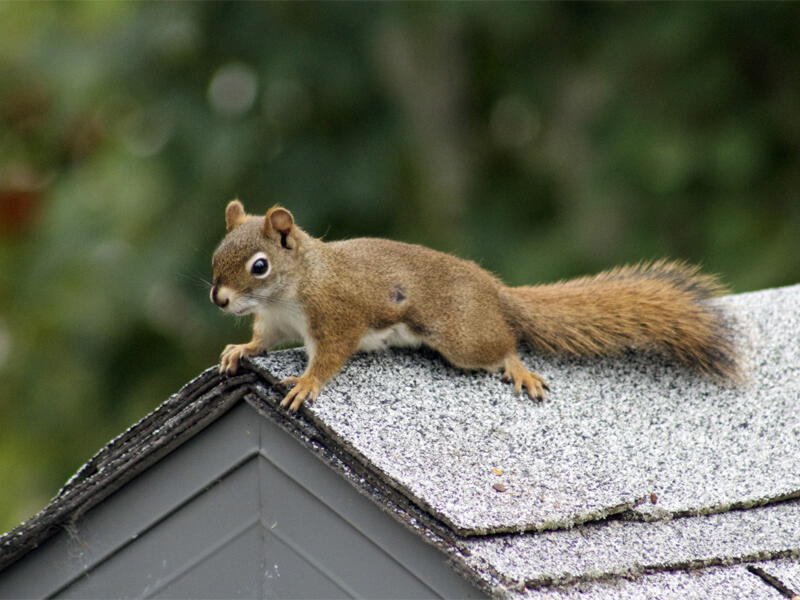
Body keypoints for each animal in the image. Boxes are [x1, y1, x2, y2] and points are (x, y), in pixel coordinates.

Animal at [210, 200, 740, 412]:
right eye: (216, 255)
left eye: (259, 266)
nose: (219, 298)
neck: (294, 289)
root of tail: (493, 289)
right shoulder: (277, 325)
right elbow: (262, 342)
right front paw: (238, 350)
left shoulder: (337, 316)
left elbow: (330, 357)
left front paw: (305, 384)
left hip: (463, 338)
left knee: (502, 346)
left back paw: (518, 368)